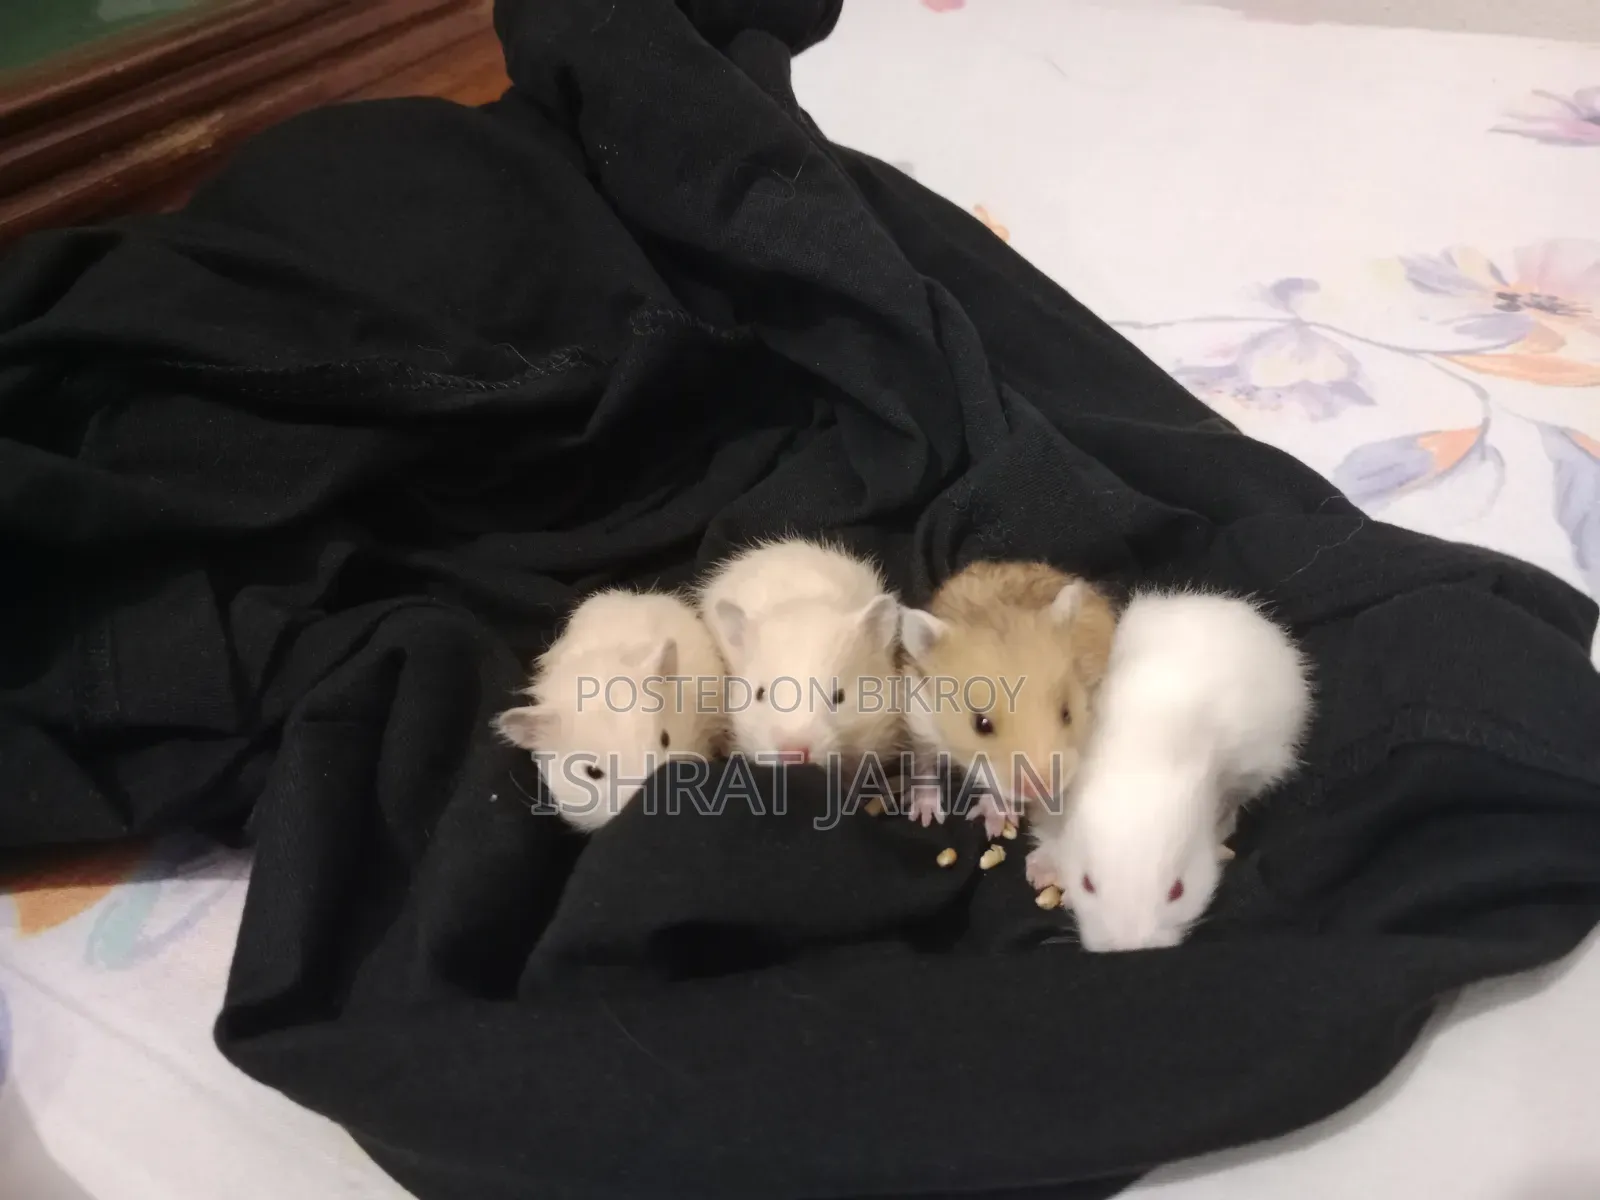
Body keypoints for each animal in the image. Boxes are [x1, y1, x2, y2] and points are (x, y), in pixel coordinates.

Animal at [898, 561, 1117, 836]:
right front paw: (925, 817)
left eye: (1067, 713)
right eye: (981, 724)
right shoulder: (919, 717)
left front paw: (994, 823)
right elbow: (923, 764)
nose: (1042, 790)